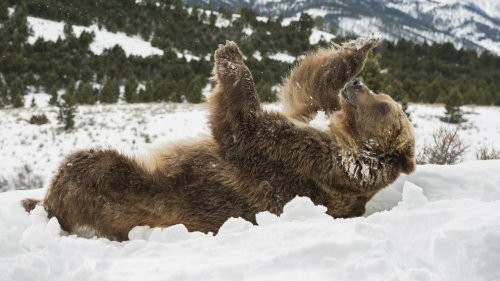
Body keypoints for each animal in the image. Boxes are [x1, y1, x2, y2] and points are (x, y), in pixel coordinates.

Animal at [21, 39, 416, 241]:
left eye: (384, 107)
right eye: (383, 96)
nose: (357, 85)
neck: (344, 140)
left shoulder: (305, 163)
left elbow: (243, 130)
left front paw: (230, 56)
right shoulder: (311, 121)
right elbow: (307, 90)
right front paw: (361, 48)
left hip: (136, 194)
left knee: (90, 168)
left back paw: (45, 203)